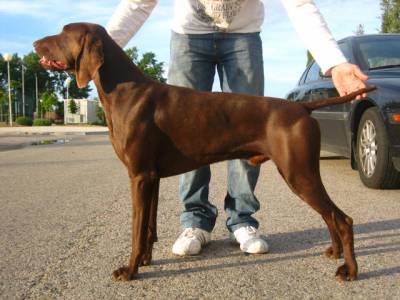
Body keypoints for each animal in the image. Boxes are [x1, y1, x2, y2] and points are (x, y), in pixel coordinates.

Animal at [33, 22, 376, 282]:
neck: (124, 91)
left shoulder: (139, 176)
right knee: (330, 216)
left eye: (63, 33)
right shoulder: (151, 177)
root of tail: (302, 106)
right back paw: (335, 253)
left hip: (299, 172)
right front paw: (144, 261)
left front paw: (129, 270)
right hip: (300, 172)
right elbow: (148, 229)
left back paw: (350, 270)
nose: (35, 43)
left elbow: (136, 230)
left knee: (342, 219)